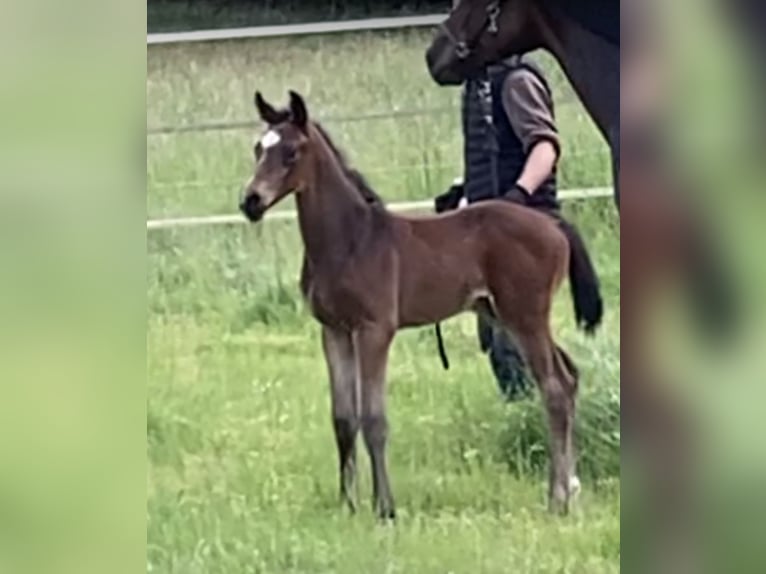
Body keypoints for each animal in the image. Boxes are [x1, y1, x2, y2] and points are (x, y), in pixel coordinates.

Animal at [242, 91, 608, 520]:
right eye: (258, 148)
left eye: (292, 152)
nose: (250, 202)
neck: (350, 241)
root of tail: (553, 225)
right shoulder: (333, 331)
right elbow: (343, 419)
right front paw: (347, 504)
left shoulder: (374, 330)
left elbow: (374, 418)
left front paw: (385, 508)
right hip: (505, 314)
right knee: (568, 376)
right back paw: (567, 491)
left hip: (526, 316)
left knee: (554, 388)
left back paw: (557, 500)